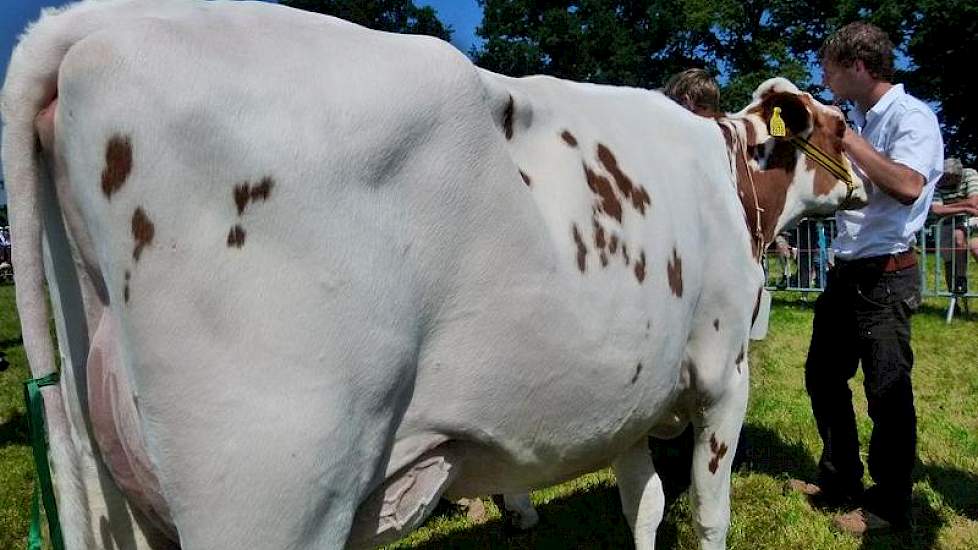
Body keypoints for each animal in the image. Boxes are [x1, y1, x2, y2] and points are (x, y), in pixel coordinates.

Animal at [3, 1, 864, 550]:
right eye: (838, 126)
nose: (867, 184)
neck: (726, 176)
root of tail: (100, 20)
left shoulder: (633, 393)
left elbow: (643, 507)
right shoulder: (722, 374)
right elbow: (708, 516)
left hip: (107, 473)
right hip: (275, 475)